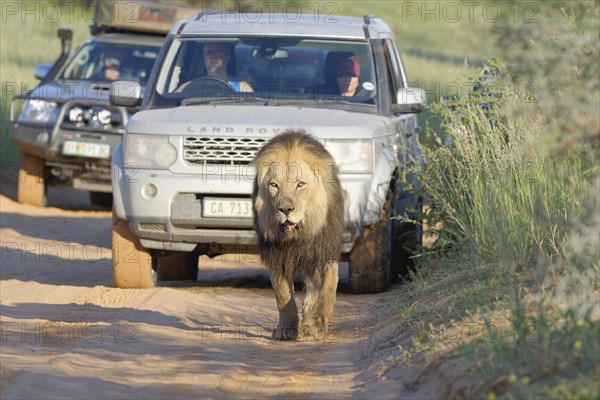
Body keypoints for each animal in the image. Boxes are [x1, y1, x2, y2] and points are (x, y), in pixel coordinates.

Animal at [250, 131, 342, 340]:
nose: (285, 209)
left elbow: (328, 285)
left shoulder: (325, 248)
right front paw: (286, 329)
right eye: (274, 185)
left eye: (300, 185)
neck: (297, 236)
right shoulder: (276, 256)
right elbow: (283, 295)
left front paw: (317, 324)